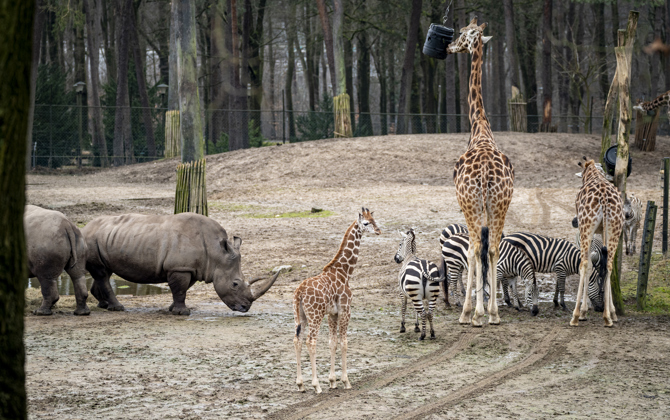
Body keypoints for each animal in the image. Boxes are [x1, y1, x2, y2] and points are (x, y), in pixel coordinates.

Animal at [81, 212, 279, 315]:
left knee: (103, 272)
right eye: (235, 284)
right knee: (102, 274)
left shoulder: (190, 268)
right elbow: (180, 289)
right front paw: (182, 313)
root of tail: (84, 228)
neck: (216, 252)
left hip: (103, 239)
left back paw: (103, 305)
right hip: (91, 239)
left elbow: (183, 289)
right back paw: (118, 308)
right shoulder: (179, 267)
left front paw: (172, 309)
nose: (245, 308)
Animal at [293, 208, 381, 393]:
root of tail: (299, 293)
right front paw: (346, 381)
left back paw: (301, 384)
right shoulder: (345, 309)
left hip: (300, 315)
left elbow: (332, 342)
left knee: (297, 340)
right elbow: (344, 342)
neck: (344, 272)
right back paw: (316, 385)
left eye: (374, 219)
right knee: (311, 341)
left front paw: (332, 381)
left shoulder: (331, 313)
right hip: (315, 315)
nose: (378, 231)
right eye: (366, 223)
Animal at [572, 157, 624, 327]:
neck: (593, 174)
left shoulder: (589, 229)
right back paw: (608, 316)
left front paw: (583, 312)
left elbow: (588, 266)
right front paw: (613, 312)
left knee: (584, 264)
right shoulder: (602, 231)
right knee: (609, 265)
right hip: (615, 228)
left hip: (586, 226)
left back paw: (575, 316)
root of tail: (604, 199)